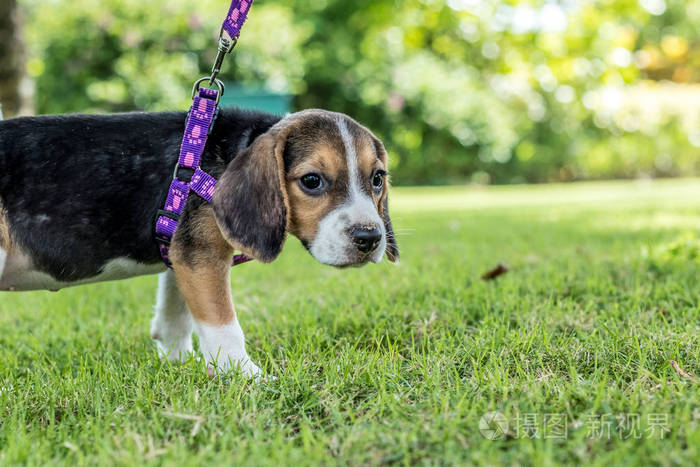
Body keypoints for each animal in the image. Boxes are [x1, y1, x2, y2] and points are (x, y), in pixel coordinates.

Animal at [0, 109, 396, 376]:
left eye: (377, 178)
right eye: (312, 181)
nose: (370, 238)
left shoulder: (182, 251)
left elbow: (177, 313)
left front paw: (178, 362)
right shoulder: (202, 255)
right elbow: (223, 323)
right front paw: (247, 377)